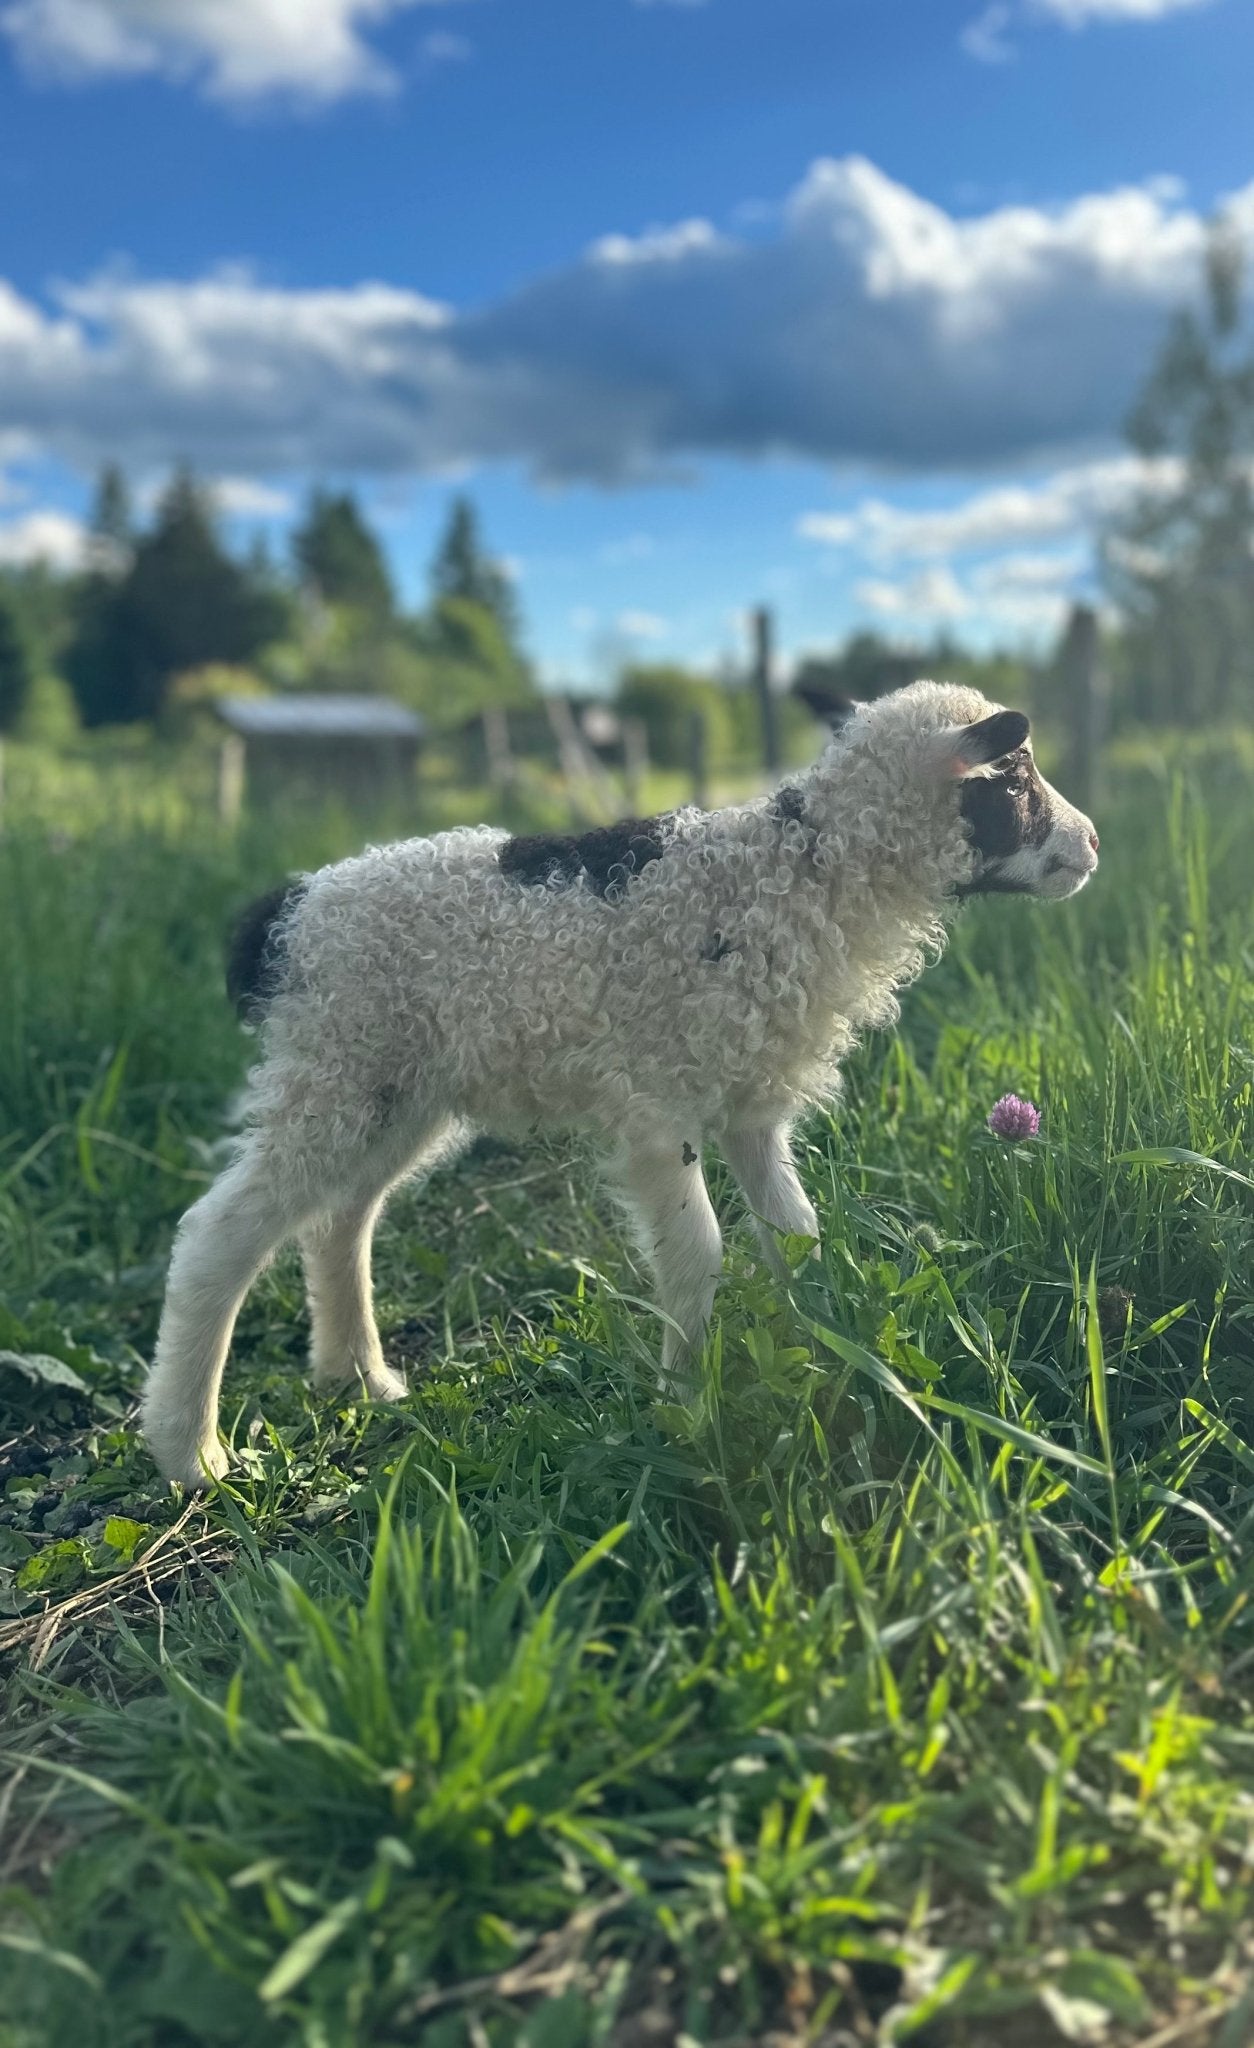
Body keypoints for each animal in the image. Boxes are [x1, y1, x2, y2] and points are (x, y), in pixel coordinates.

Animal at [142, 681, 1099, 1487]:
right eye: (1014, 777)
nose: (1092, 842)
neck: (805, 869)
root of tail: (285, 917)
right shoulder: (656, 1104)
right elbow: (699, 1252)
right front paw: (691, 1407)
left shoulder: (752, 1106)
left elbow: (796, 1236)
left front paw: (823, 1359)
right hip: (337, 1068)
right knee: (220, 1232)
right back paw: (192, 1453)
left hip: (393, 1089)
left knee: (340, 1218)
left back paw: (357, 1379)